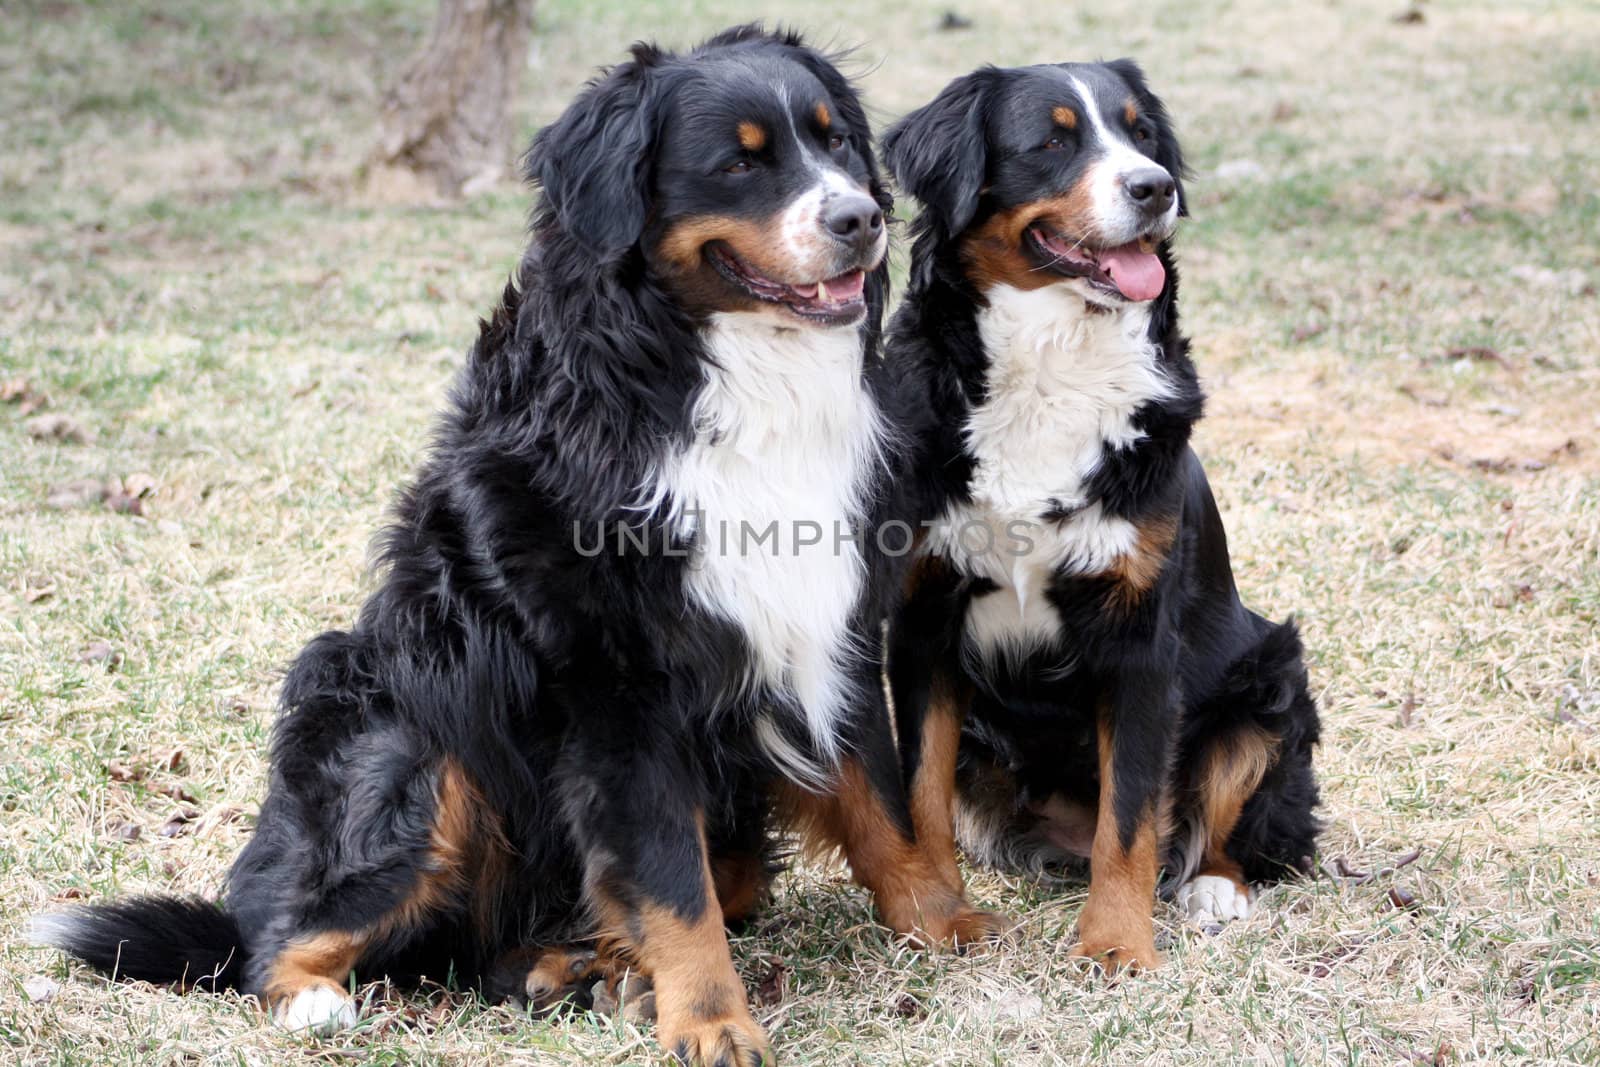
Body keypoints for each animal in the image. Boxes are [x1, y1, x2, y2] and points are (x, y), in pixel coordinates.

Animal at [40, 29, 998, 1062]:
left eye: (836, 143)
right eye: (741, 163)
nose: (861, 218)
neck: (714, 373)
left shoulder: (826, 613)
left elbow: (876, 796)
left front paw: (941, 919)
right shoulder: (617, 682)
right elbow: (673, 878)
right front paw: (711, 1018)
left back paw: (580, 967)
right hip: (409, 739)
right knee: (288, 933)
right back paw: (324, 997)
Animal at [883, 60, 1318, 979]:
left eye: (1140, 133)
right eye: (1053, 141)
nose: (1154, 188)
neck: (1054, 365)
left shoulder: (1139, 634)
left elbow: (1132, 814)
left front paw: (1116, 942)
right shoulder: (923, 618)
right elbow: (920, 791)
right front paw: (939, 915)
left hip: (1269, 677)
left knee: (1225, 823)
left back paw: (1215, 887)